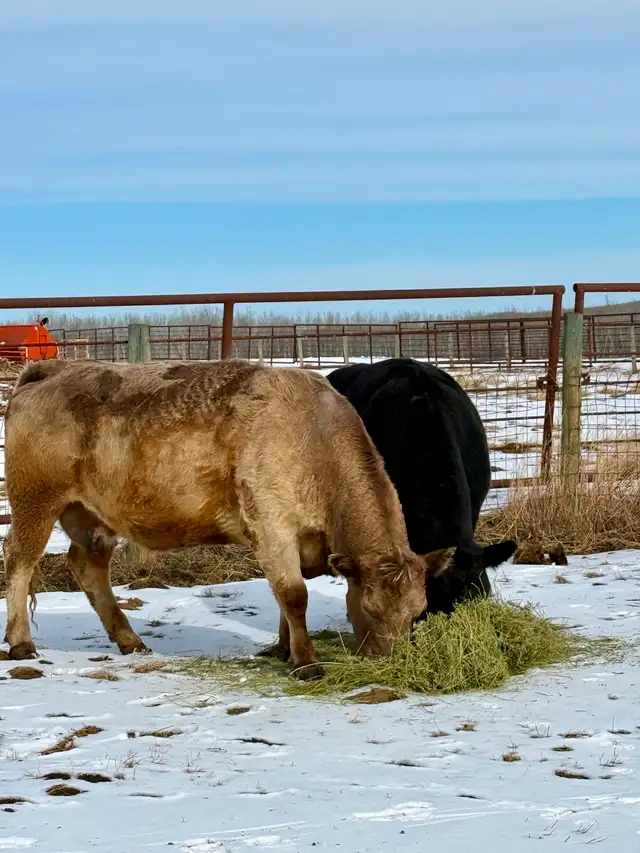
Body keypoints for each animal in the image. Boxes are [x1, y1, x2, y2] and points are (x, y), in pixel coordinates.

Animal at [2, 358, 441, 677]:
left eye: (417, 612)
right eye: (369, 608)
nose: (393, 661)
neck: (312, 437)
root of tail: (56, 370)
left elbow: (284, 599)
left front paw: (283, 649)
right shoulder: (272, 527)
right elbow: (294, 595)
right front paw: (306, 662)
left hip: (91, 516)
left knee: (88, 567)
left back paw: (130, 640)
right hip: (34, 502)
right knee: (20, 562)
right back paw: (22, 642)